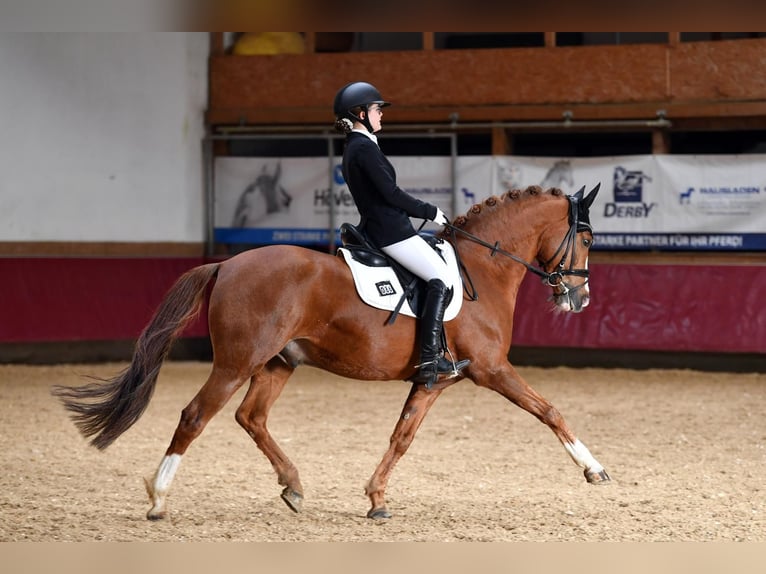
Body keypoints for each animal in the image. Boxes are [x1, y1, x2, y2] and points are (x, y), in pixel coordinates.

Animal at [51, 183, 608, 520]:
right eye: (585, 237)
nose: (580, 299)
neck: (482, 271)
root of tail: (226, 264)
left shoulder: (435, 380)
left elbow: (402, 437)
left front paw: (376, 498)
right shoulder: (492, 370)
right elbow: (549, 411)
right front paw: (594, 469)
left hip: (278, 362)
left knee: (251, 417)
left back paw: (293, 486)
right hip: (237, 362)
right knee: (195, 415)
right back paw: (159, 499)